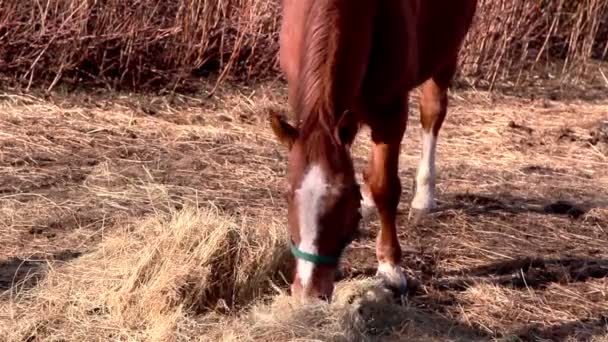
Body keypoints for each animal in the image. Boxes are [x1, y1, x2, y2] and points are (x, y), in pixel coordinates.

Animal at [272, 0, 480, 300]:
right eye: (287, 195)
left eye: (342, 198)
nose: (309, 292)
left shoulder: (390, 113)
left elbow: (386, 187)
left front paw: (390, 268)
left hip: (445, 55)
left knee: (433, 112)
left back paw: (423, 196)